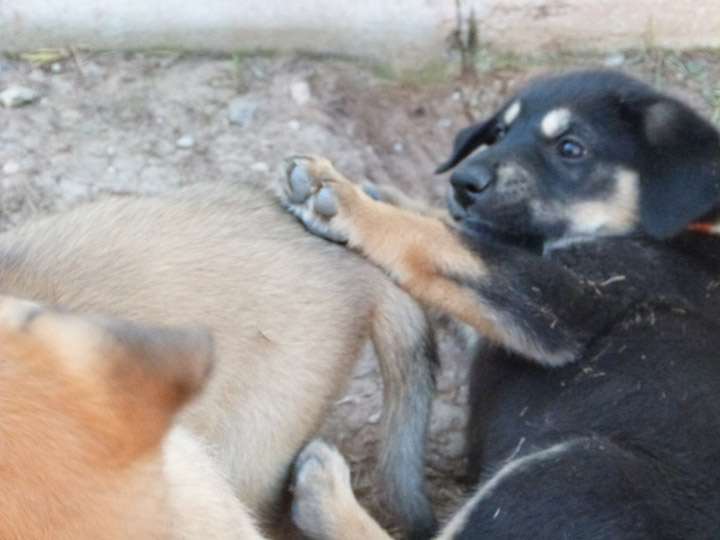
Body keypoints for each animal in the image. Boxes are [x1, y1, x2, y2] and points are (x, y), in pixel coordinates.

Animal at [278, 69, 720, 536]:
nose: (462, 183)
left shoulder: (565, 302)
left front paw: (343, 200)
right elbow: (453, 234)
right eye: (500, 132)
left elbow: (438, 240)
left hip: (578, 470)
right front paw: (385, 194)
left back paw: (323, 495)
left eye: (571, 148)